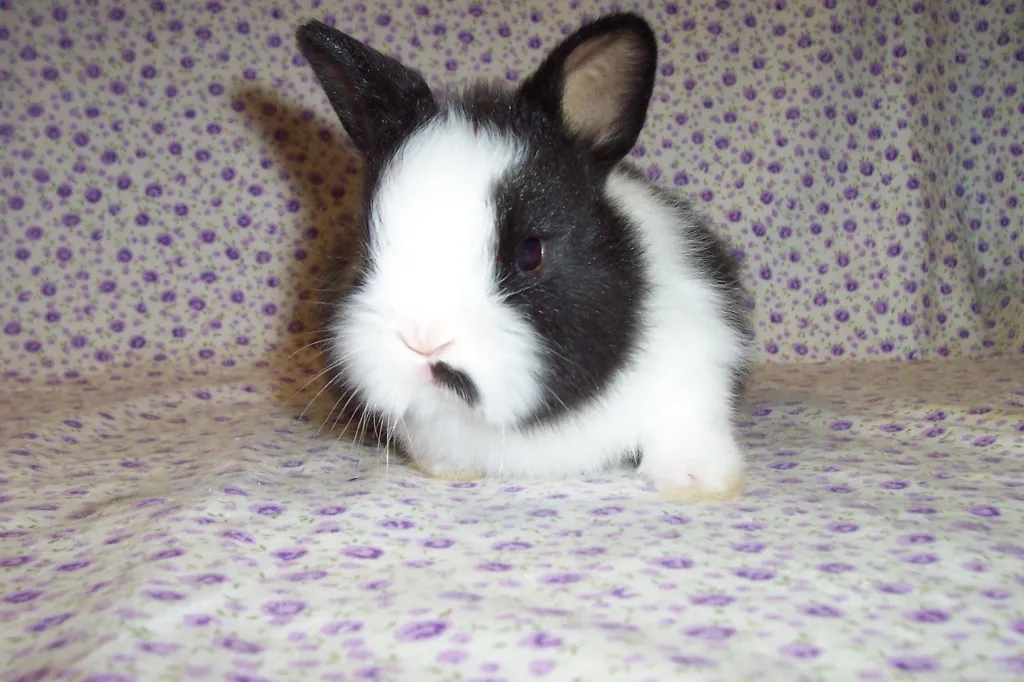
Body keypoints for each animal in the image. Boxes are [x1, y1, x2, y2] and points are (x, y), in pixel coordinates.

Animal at [295, 12, 753, 501]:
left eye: (531, 252)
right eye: (366, 248)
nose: (424, 340)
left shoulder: (697, 367)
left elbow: (683, 429)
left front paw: (697, 484)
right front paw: (451, 471)